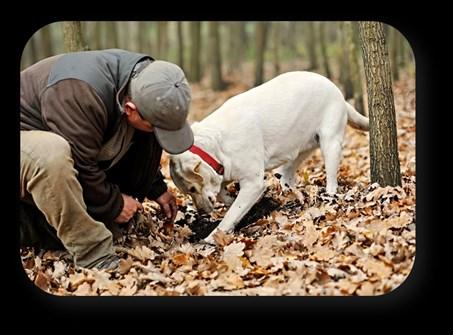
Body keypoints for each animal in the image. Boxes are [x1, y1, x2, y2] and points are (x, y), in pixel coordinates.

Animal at [169, 71, 368, 244]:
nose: (202, 212)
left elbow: (231, 214)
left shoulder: (253, 183)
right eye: (188, 192)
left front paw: (212, 237)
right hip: (297, 149)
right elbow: (223, 195)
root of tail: (337, 91)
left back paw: (329, 195)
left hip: (330, 142)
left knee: (331, 178)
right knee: (287, 175)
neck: (217, 144)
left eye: (193, 189)